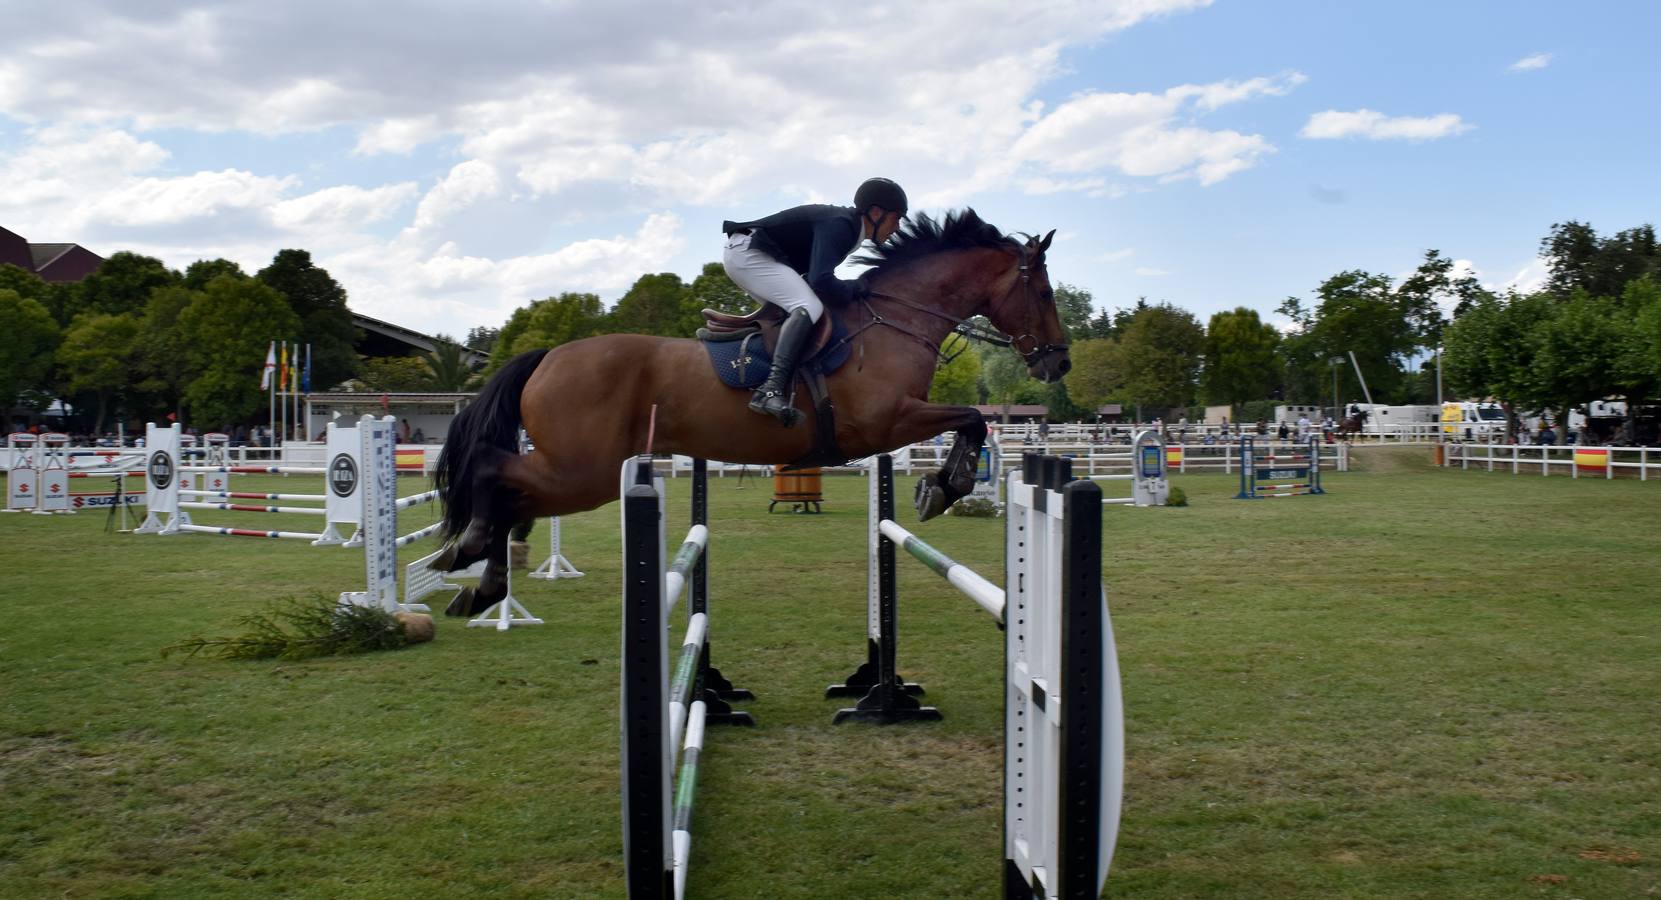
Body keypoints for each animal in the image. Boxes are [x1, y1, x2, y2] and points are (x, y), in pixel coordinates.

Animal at [435, 211, 1069, 614]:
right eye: (1043, 293)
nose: (1058, 362)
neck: (895, 318)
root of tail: (548, 356)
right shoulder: (886, 421)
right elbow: (972, 417)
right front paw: (944, 487)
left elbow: (970, 420)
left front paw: (937, 488)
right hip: (582, 471)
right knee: (494, 471)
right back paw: (470, 552)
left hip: (579, 473)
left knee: (515, 495)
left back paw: (481, 584)